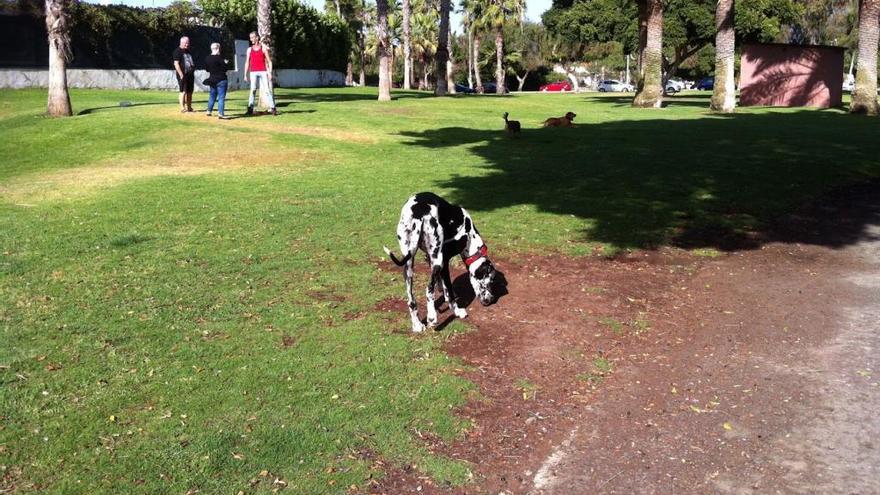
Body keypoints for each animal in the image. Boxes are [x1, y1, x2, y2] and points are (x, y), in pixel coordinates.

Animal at [384, 193, 502, 334]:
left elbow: (442, 284)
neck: (469, 235)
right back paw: (432, 318)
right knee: (428, 289)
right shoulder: (444, 262)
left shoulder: (430, 259)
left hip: (409, 264)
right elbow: (449, 290)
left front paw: (443, 291)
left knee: (411, 300)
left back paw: (417, 325)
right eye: (490, 281)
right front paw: (457, 310)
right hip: (437, 261)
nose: (491, 300)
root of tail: (418, 211)